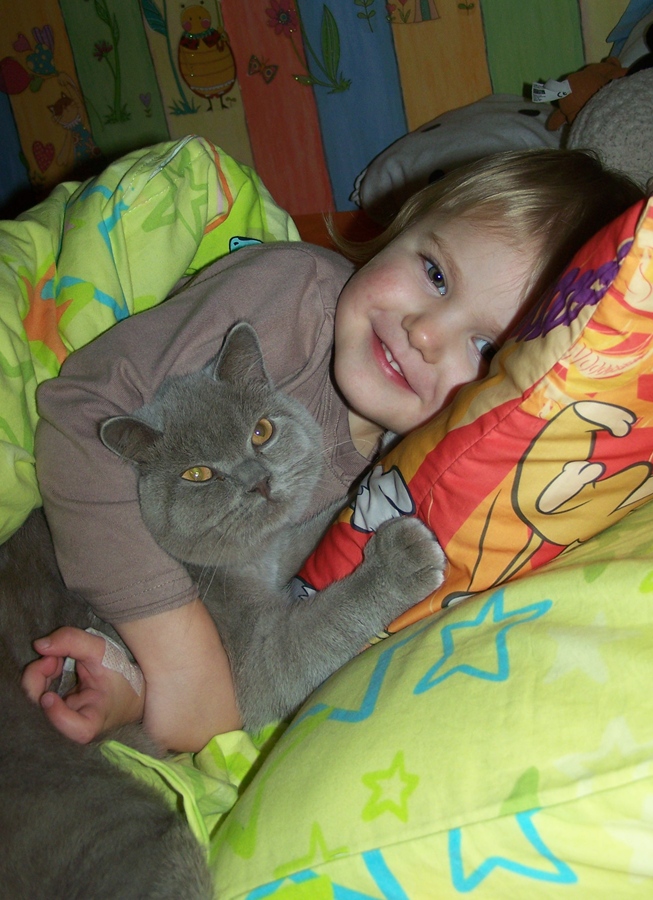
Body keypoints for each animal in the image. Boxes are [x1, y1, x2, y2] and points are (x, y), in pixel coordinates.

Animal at [100, 320, 446, 730]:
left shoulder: (282, 552)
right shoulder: (258, 659)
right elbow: (328, 620)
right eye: (198, 474)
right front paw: (401, 557)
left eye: (261, 431)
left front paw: (394, 442)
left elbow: (320, 527)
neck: (253, 560)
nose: (258, 481)